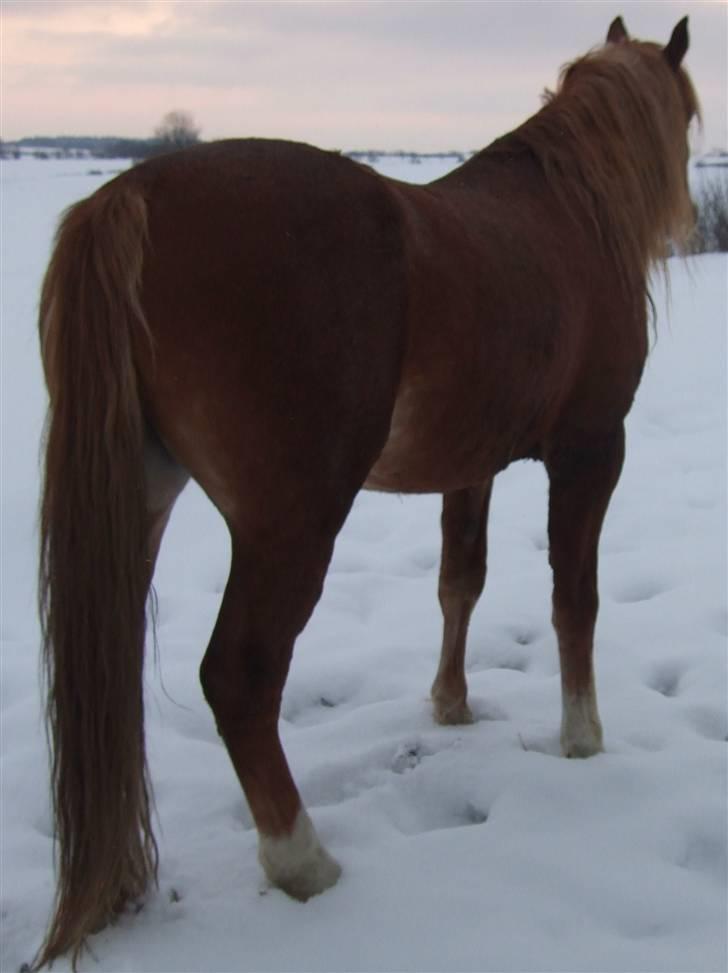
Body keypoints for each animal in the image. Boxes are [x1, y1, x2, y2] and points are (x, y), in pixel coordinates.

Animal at [35, 17, 700, 972]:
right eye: (688, 115)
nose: (687, 221)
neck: (572, 216)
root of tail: (132, 196)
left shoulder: (470, 466)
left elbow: (460, 582)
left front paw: (451, 705)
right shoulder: (589, 452)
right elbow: (575, 600)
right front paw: (583, 739)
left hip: (141, 501)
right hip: (291, 526)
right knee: (239, 676)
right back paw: (304, 862)